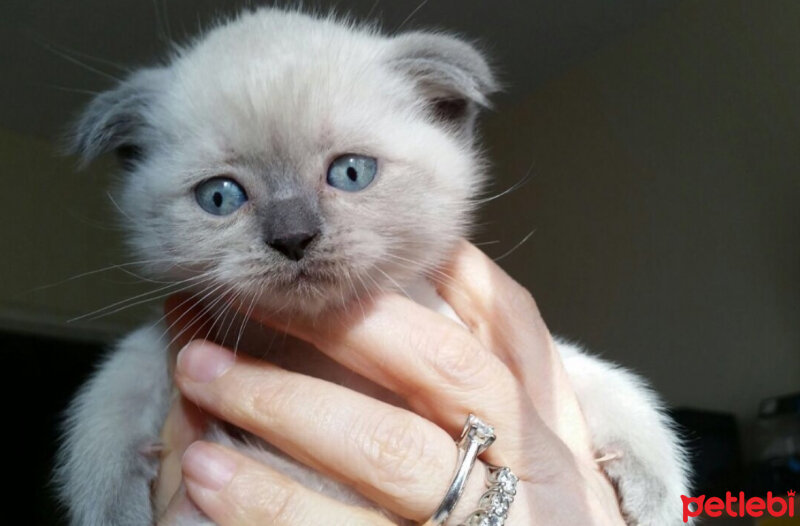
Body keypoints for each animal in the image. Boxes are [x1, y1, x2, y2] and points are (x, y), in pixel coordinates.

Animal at [56, 6, 692, 524]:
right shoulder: (171, 341)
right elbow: (113, 391)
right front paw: (113, 507)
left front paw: (658, 498)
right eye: (219, 197)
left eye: (351, 172)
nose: (293, 238)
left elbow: (601, 380)